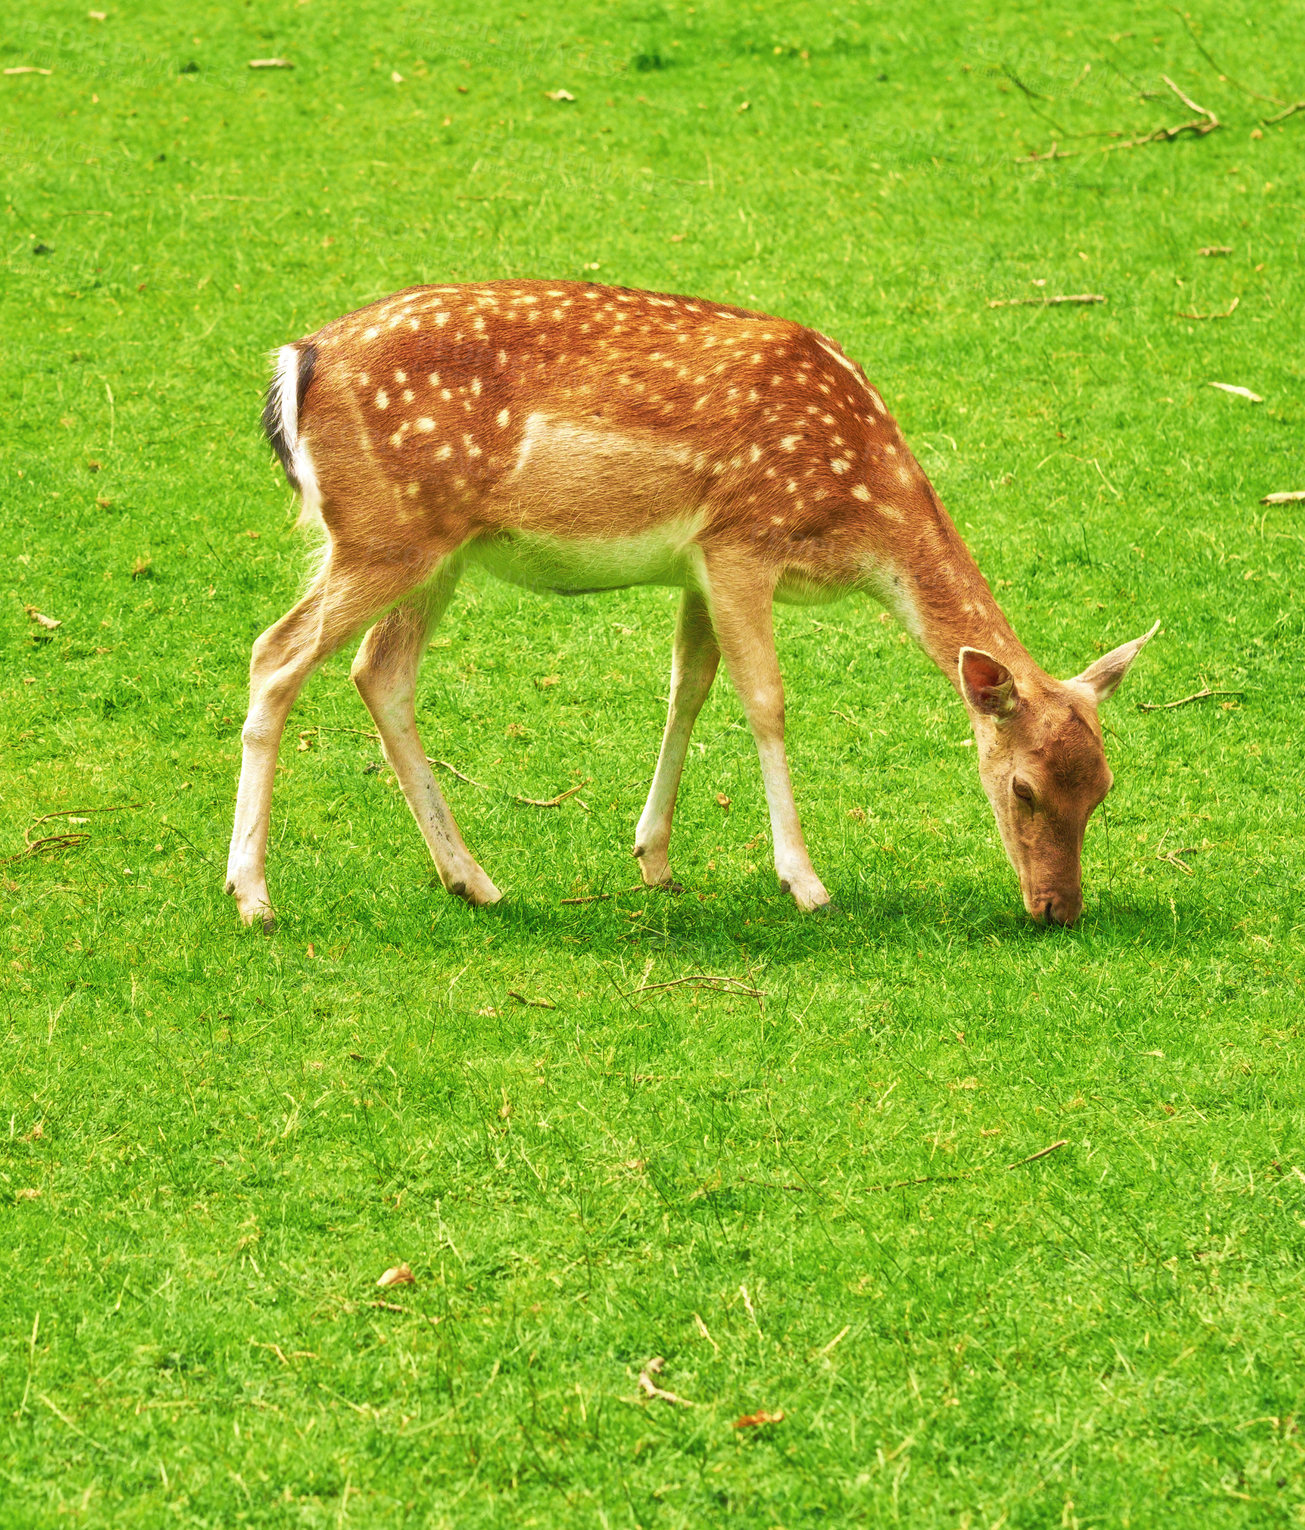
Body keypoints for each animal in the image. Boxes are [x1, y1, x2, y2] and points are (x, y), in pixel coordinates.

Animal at [226, 283, 1162, 936]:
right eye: (1024, 789)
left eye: (1103, 789)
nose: (1057, 910)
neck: (859, 510)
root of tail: (293, 363)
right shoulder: (742, 542)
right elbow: (766, 700)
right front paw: (805, 882)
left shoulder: (696, 568)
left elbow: (690, 685)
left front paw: (654, 859)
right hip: (382, 534)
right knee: (276, 654)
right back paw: (253, 897)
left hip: (433, 549)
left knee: (379, 671)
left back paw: (474, 881)